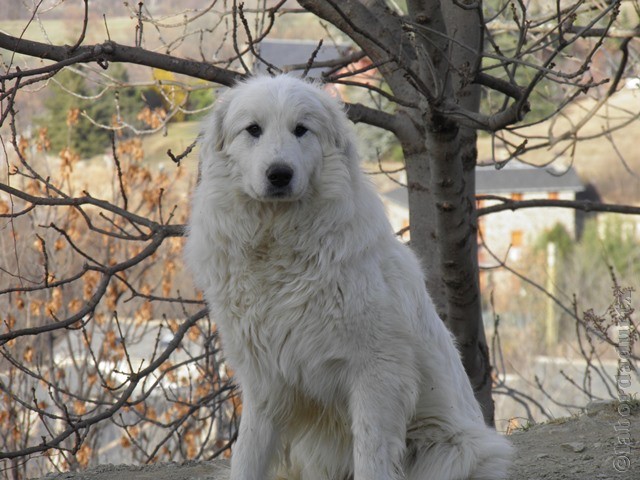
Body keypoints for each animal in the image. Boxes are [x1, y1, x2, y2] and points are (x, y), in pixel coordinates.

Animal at [184, 76, 510, 480]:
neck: (277, 245)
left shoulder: (377, 372)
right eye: (253, 130)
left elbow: (370, 452)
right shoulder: (264, 378)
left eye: (301, 130)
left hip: (455, 450)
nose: (279, 174)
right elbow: (248, 454)